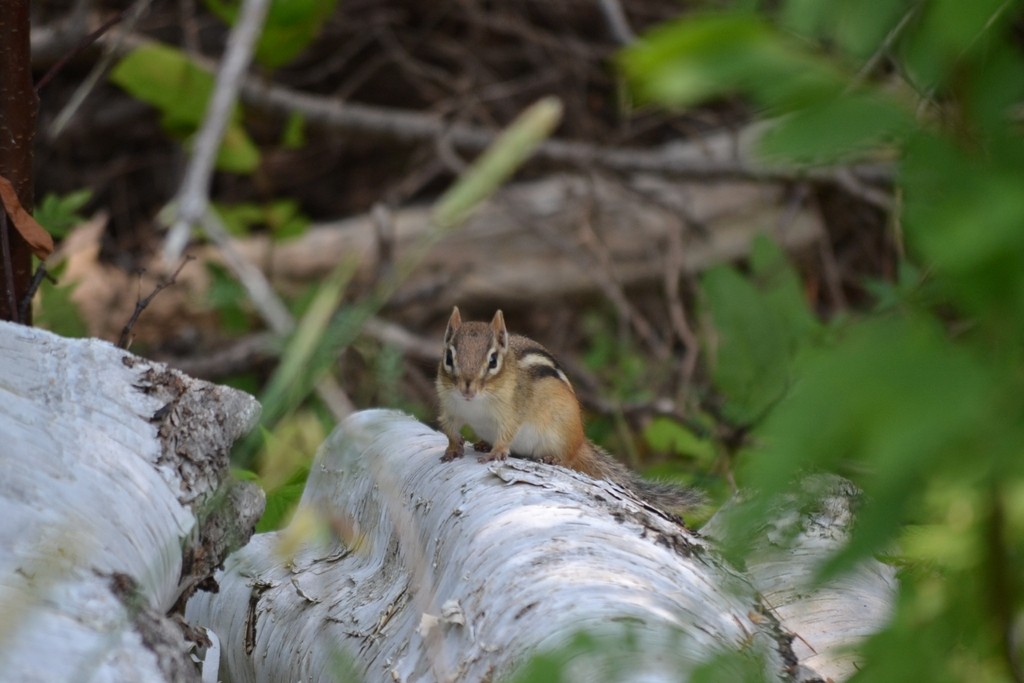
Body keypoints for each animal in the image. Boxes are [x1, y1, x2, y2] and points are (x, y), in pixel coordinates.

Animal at [435, 306, 704, 515]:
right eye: (448, 357)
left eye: (492, 361)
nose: (467, 389)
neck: (474, 405)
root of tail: (580, 441)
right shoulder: (449, 406)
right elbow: (449, 428)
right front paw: (453, 448)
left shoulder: (511, 410)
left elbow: (507, 432)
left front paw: (496, 452)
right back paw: (482, 443)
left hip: (558, 432)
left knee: (567, 458)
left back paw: (553, 458)